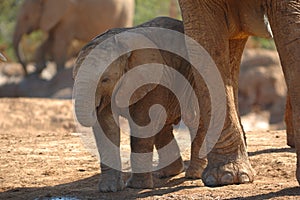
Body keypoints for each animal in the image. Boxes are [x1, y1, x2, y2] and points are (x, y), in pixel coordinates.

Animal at [74, 17, 207, 192]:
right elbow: (106, 126)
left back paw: (193, 174)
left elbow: (143, 123)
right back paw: (167, 173)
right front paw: (109, 189)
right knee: (164, 125)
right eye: (74, 77)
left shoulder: (151, 78)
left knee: (193, 118)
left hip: (193, 75)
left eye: (105, 80)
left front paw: (136, 187)